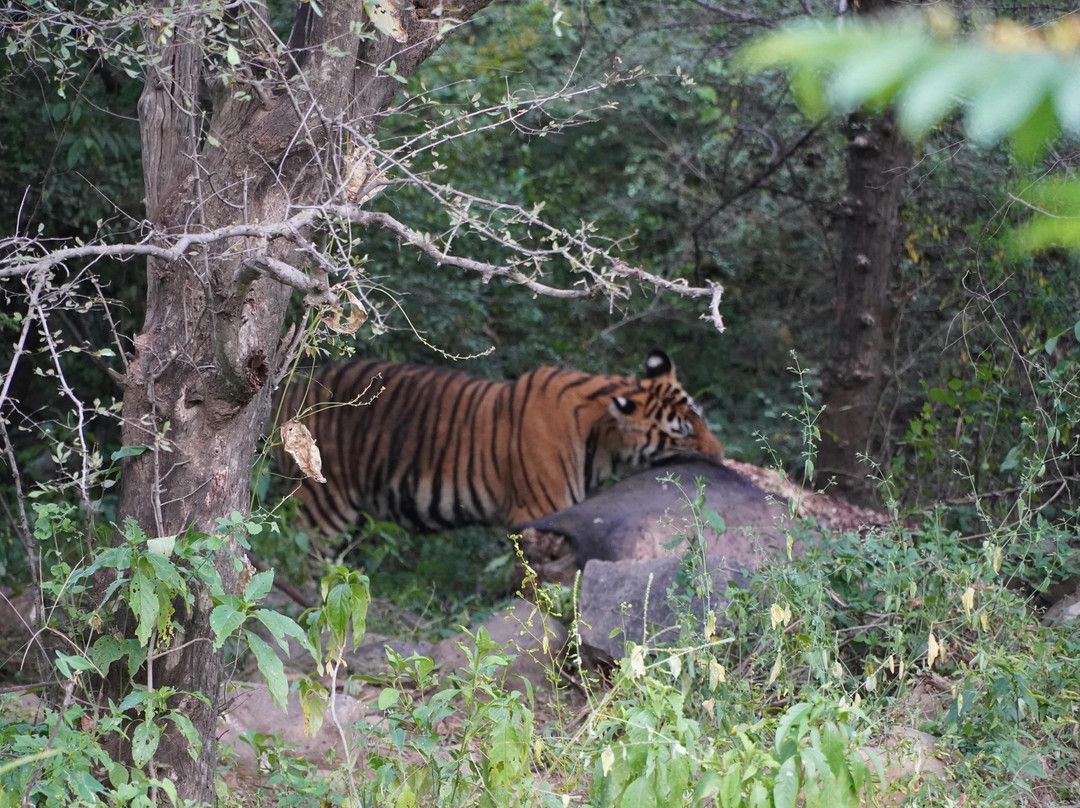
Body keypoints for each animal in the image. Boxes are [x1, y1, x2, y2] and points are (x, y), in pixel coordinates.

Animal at [274, 350, 724, 535]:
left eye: (700, 417)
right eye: (682, 431)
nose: (722, 455)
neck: (604, 442)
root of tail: (292, 387)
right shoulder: (537, 512)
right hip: (319, 507)